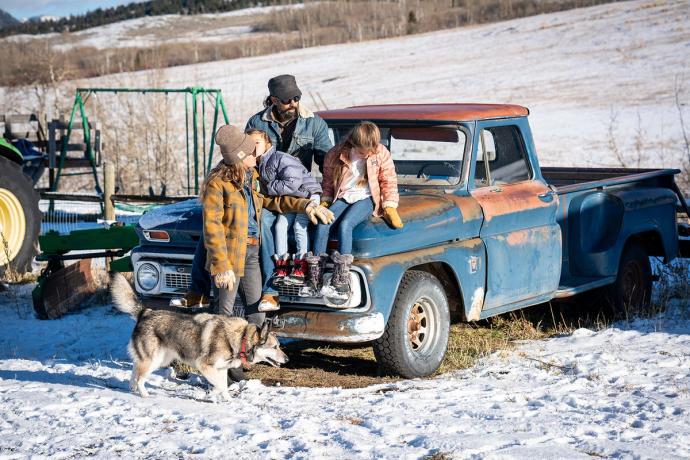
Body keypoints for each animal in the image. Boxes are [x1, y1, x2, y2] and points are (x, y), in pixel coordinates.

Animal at [110, 274, 288, 398]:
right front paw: (212, 394)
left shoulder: (221, 369)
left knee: (135, 370)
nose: (287, 359)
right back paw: (145, 394)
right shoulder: (204, 366)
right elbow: (220, 386)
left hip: (159, 359)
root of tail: (146, 312)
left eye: (279, 346)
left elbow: (223, 386)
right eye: (275, 347)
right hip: (154, 360)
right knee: (140, 377)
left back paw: (132, 388)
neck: (241, 338)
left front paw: (227, 400)